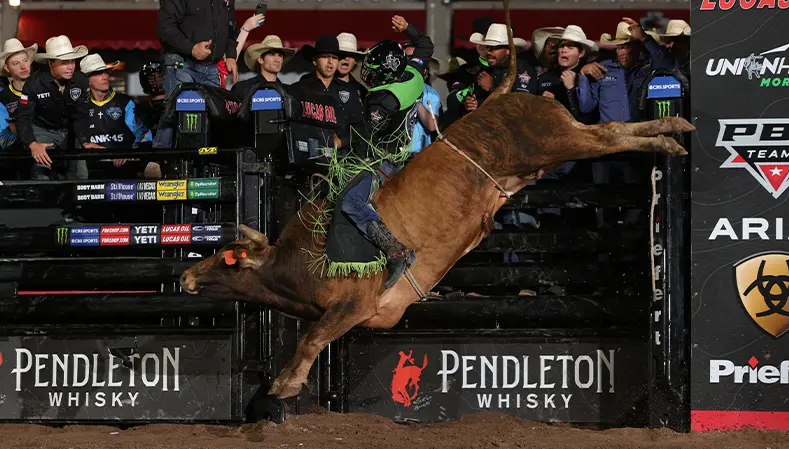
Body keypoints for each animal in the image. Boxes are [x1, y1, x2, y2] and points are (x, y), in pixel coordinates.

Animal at [180, 0, 696, 400]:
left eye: (225, 259)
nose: (185, 277)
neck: (296, 264)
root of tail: (503, 97)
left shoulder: (352, 305)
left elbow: (310, 340)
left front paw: (283, 386)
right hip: (548, 151)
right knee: (611, 131)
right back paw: (673, 130)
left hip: (554, 142)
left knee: (607, 135)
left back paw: (669, 137)